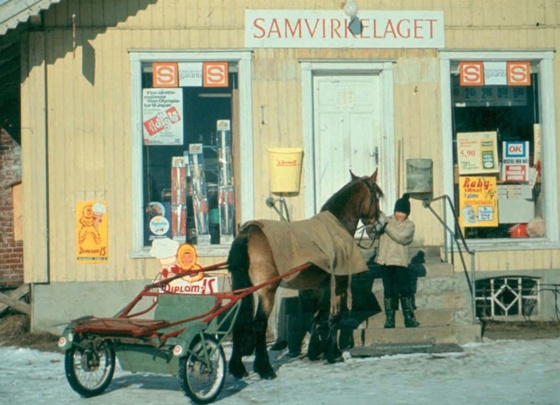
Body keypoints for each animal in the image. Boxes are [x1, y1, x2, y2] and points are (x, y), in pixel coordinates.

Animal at [227, 169, 383, 380]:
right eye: (377, 196)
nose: (380, 225)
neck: (336, 227)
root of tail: (249, 231)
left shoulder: (317, 288)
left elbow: (316, 318)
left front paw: (316, 351)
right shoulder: (338, 284)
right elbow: (333, 317)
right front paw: (333, 354)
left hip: (243, 289)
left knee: (239, 322)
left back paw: (238, 368)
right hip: (266, 291)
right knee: (259, 324)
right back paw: (265, 368)